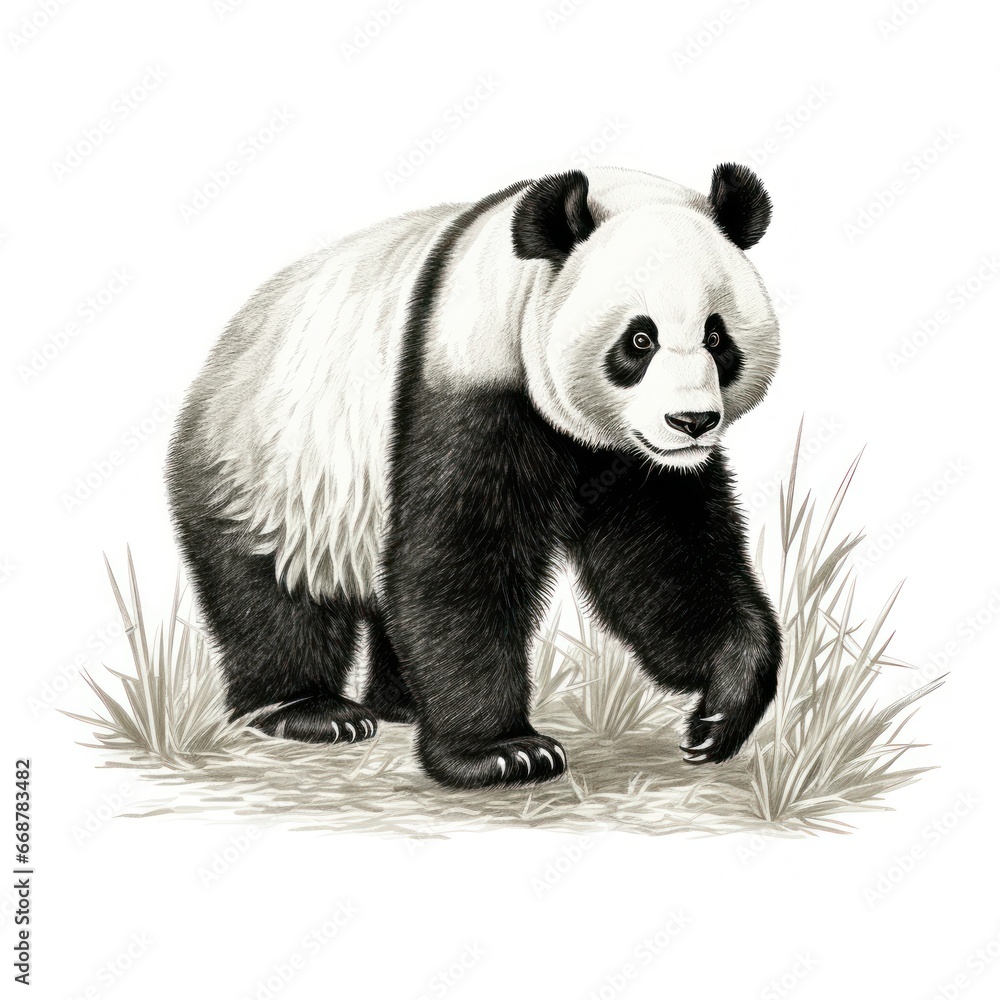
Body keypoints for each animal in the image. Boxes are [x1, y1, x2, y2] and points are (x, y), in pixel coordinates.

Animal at [166, 163, 783, 790]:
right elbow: (460, 559)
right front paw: (505, 752)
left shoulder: (635, 459)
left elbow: (665, 563)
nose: (692, 422)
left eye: (716, 337)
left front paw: (720, 709)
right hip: (272, 463)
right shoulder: (465, 382)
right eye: (639, 339)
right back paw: (309, 710)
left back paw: (399, 703)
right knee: (272, 594)